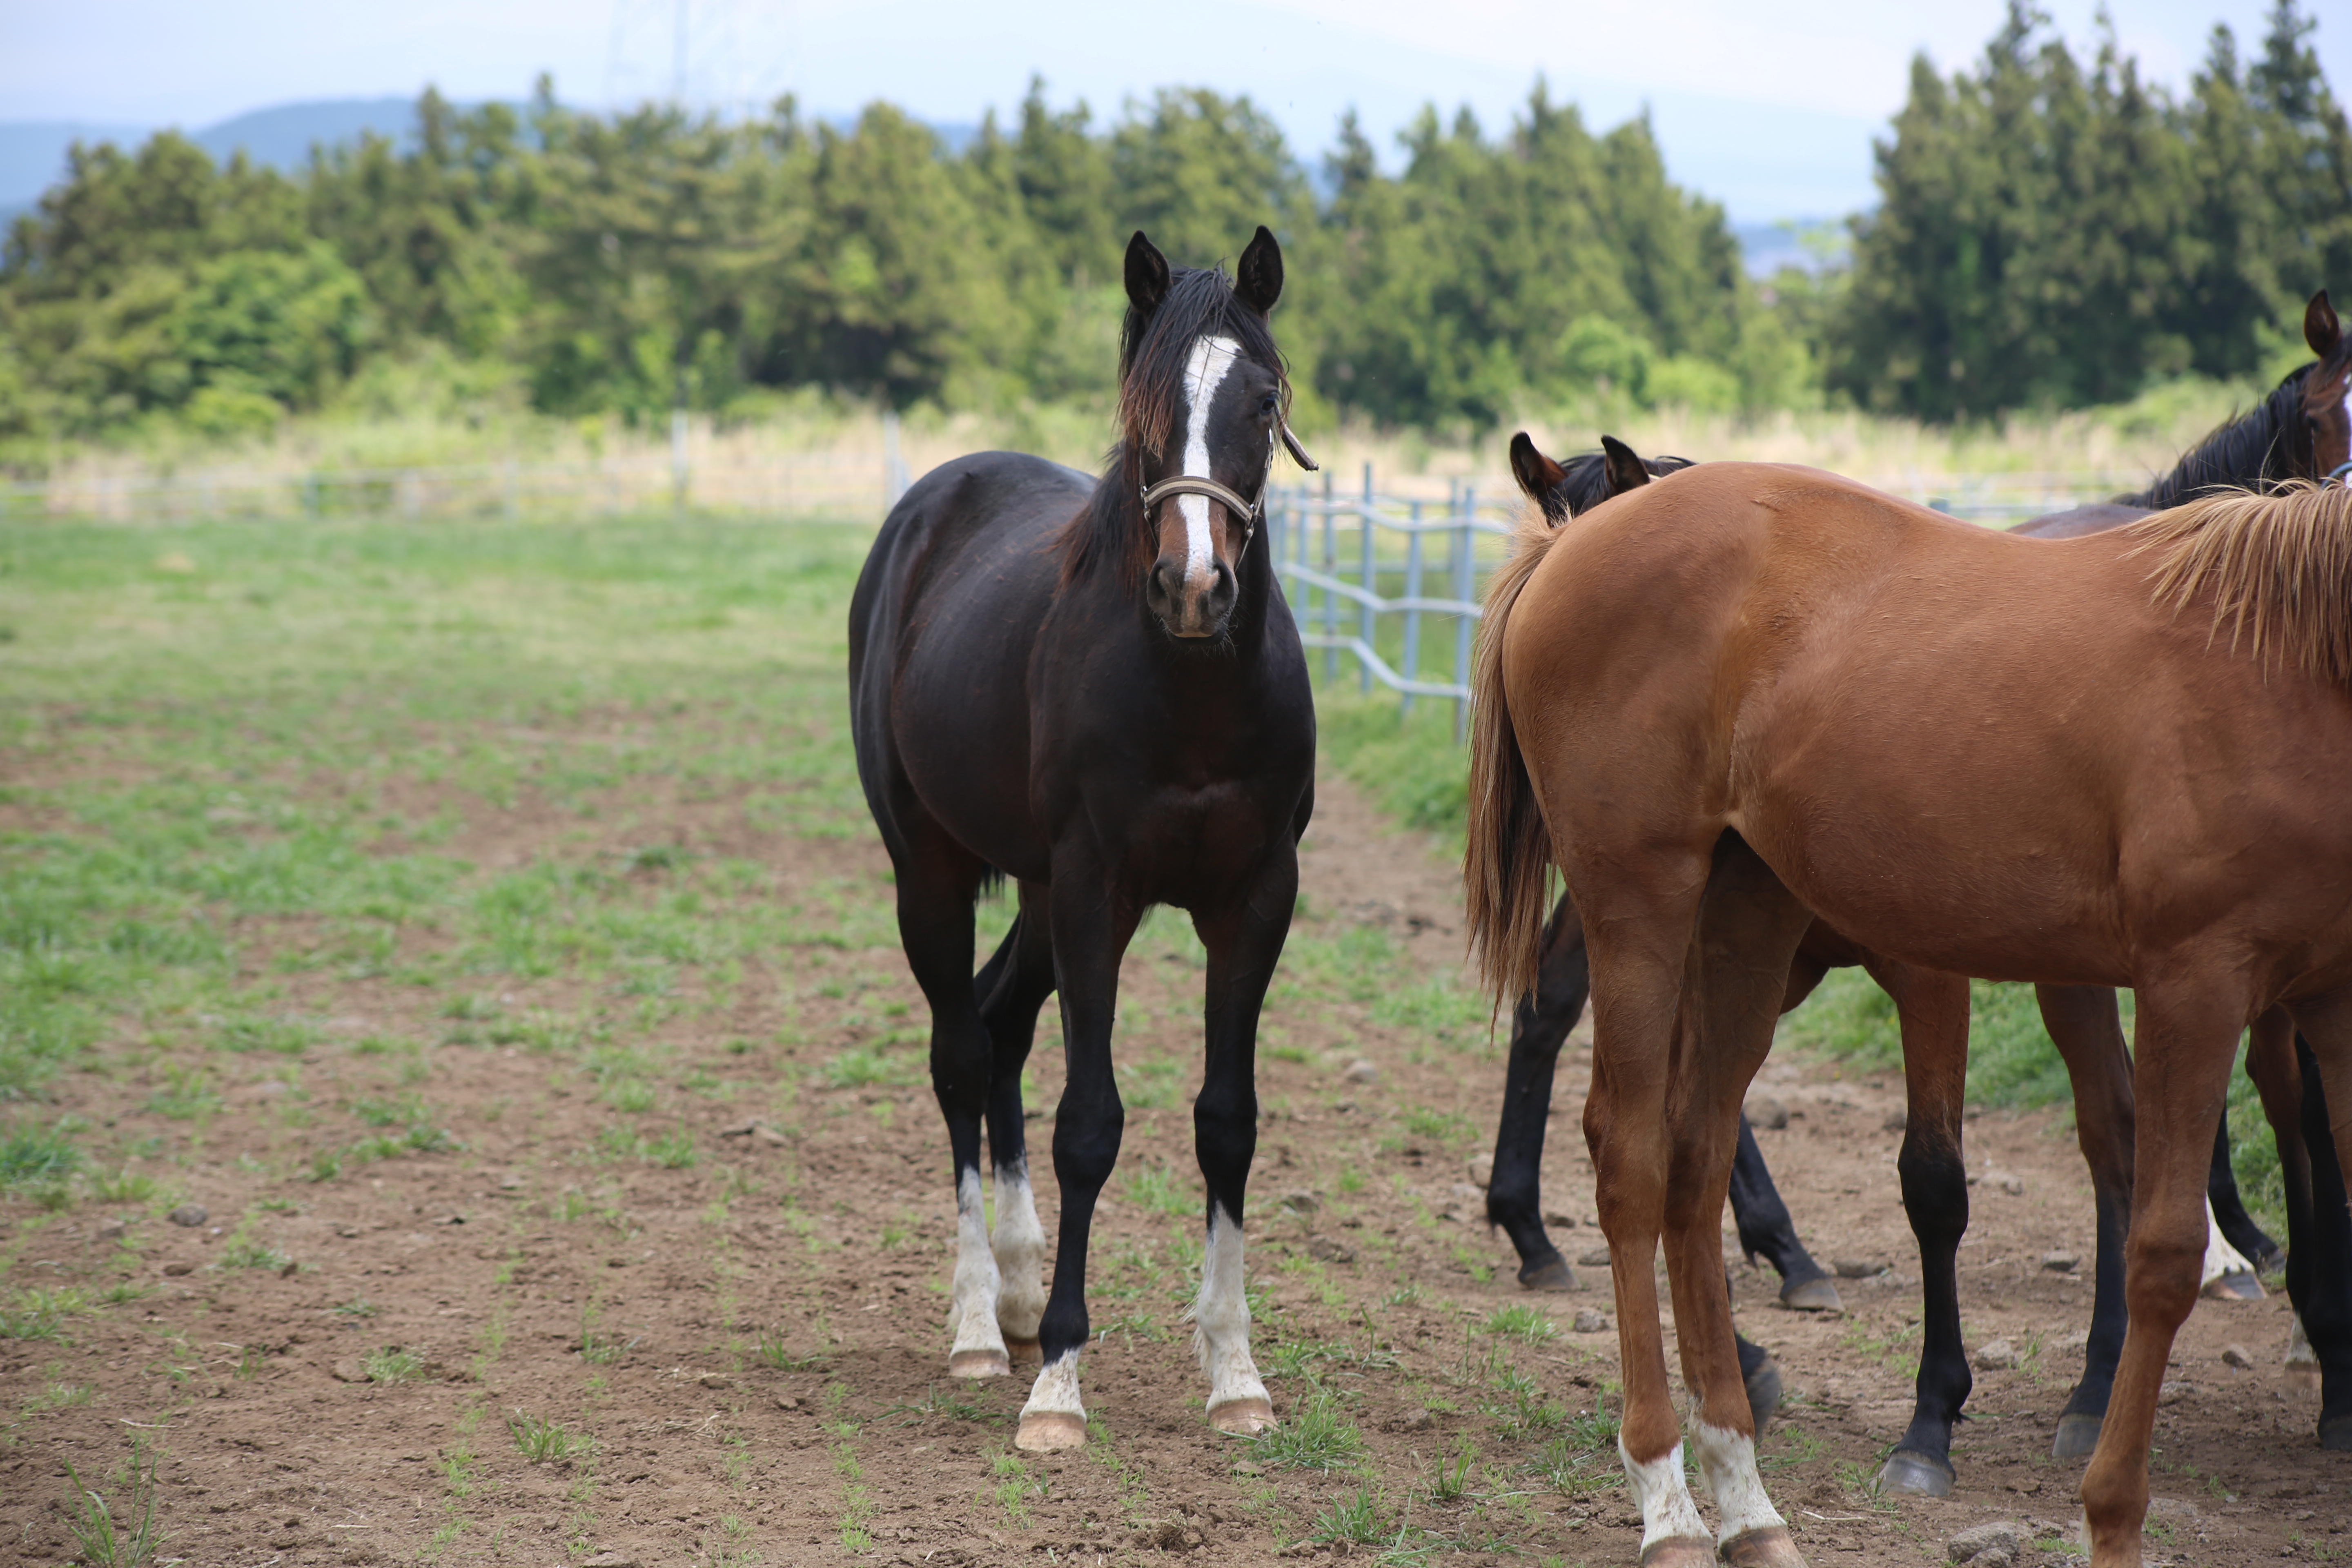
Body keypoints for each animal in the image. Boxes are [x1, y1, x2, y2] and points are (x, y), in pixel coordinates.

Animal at [851, 227, 1326, 1457]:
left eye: (1262, 401)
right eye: (1143, 405)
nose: (1195, 586)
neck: (1193, 695)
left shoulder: (1255, 898)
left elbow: (1226, 1123)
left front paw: (1235, 1373)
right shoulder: (1093, 893)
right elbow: (1090, 1126)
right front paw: (1061, 1383)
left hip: (1029, 892)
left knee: (999, 1021)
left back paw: (1018, 1292)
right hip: (931, 871)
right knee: (959, 1050)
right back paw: (985, 1325)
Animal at [1458, 472, 2352, 1568]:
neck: (2284, 654)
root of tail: (1573, 538)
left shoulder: (2333, 998)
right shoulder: (2194, 980)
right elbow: (2160, 1250)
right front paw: (2106, 1511)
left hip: (1746, 917)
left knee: (1695, 1162)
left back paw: (1746, 1499)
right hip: (1637, 903)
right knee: (1629, 1160)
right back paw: (1666, 1501)